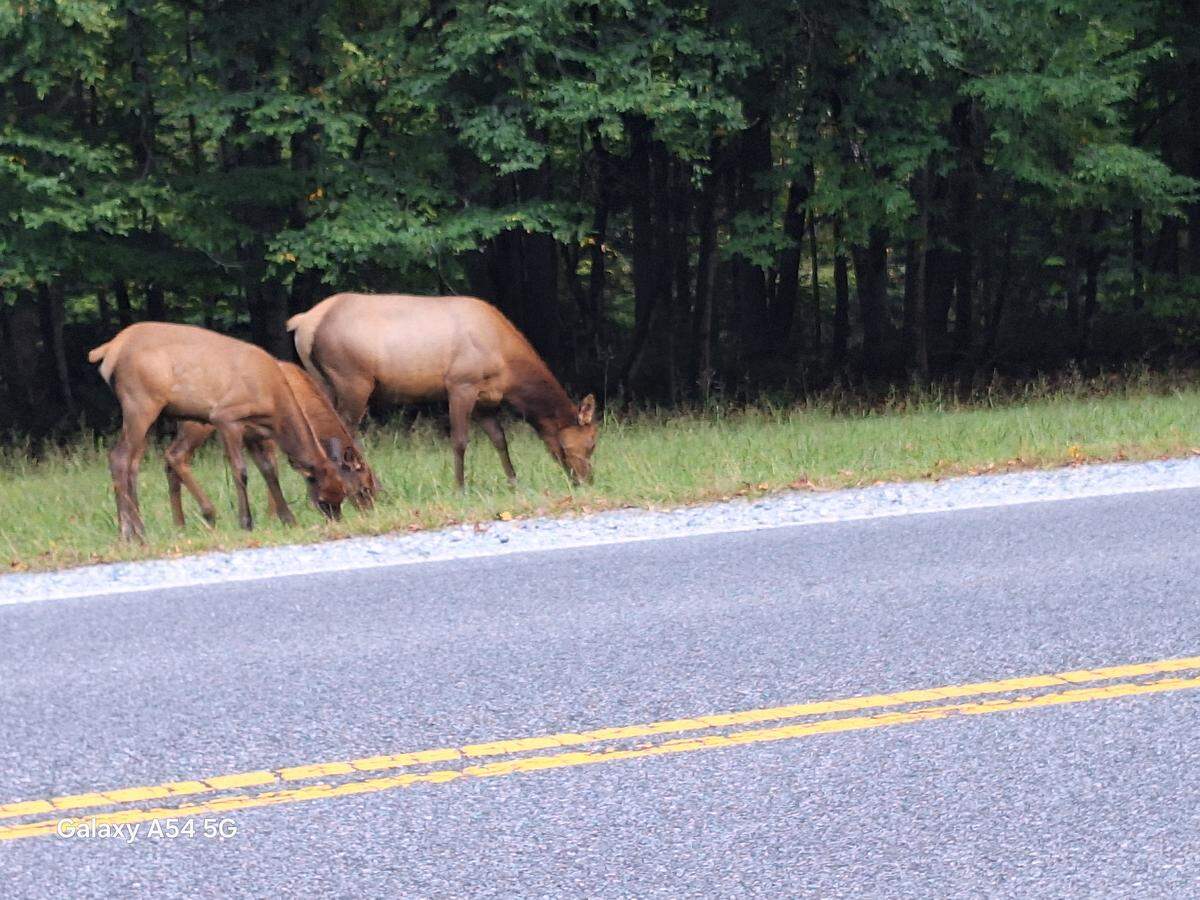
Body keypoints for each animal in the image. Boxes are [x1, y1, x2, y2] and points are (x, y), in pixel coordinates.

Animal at [89, 322, 349, 540]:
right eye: (323, 500)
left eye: (343, 494)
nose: (336, 523)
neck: (273, 401)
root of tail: (109, 350)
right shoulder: (226, 417)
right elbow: (241, 471)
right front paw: (246, 522)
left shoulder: (254, 432)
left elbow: (269, 471)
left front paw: (288, 520)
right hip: (140, 402)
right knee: (119, 457)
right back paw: (129, 531)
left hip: (150, 413)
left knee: (133, 463)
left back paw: (136, 530)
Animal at [163, 361, 379, 528]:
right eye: (364, 488)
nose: (369, 513)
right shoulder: (269, 435)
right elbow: (273, 469)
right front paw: (273, 517)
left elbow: (269, 469)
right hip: (200, 423)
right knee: (176, 455)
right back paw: (207, 514)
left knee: (169, 461)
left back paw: (180, 525)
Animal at [287, 293, 597, 487]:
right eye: (592, 442)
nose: (587, 480)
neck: (508, 369)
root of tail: (304, 322)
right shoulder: (461, 384)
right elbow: (459, 440)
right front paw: (459, 487)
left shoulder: (485, 399)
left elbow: (499, 439)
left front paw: (513, 481)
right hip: (353, 379)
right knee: (345, 435)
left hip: (322, 382)